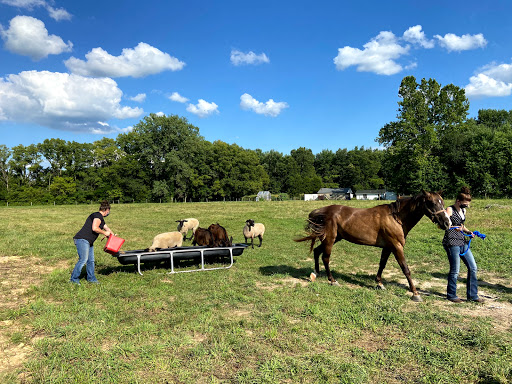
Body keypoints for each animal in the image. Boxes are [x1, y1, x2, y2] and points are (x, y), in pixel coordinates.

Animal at [294, 190, 450, 302]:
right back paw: (332, 280)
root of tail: (323, 210)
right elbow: (406, 269)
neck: (396, 218)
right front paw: (415, 293)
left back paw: (315, 273)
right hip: (330, 239)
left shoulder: (388, 247)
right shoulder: (397, 246)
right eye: (431, 203)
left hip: (334, 238)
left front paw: (379, 283)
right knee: (325, 258)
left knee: (317, 251)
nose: (447, 223)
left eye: (442, 202)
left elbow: (382, 264)